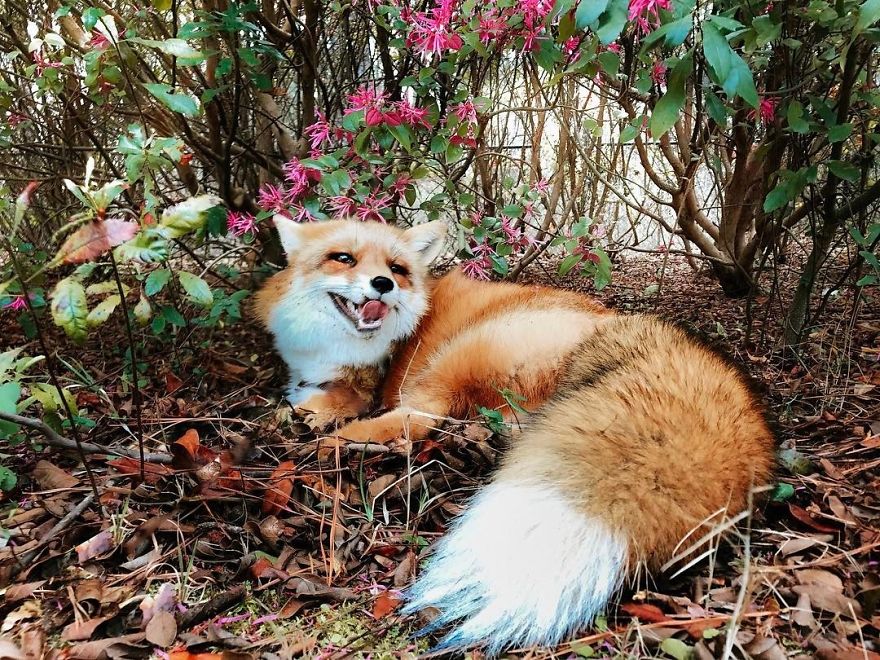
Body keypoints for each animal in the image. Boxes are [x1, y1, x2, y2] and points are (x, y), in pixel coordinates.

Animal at [254, 216, 776, 654]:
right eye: (343, 258)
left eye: (397, 269)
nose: (382, 284)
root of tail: (617, 322)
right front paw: (294, 411)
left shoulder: (369, 382)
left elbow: (344, 401)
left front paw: (310, 421)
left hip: (456, 353)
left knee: (421, 419)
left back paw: (334, 444)